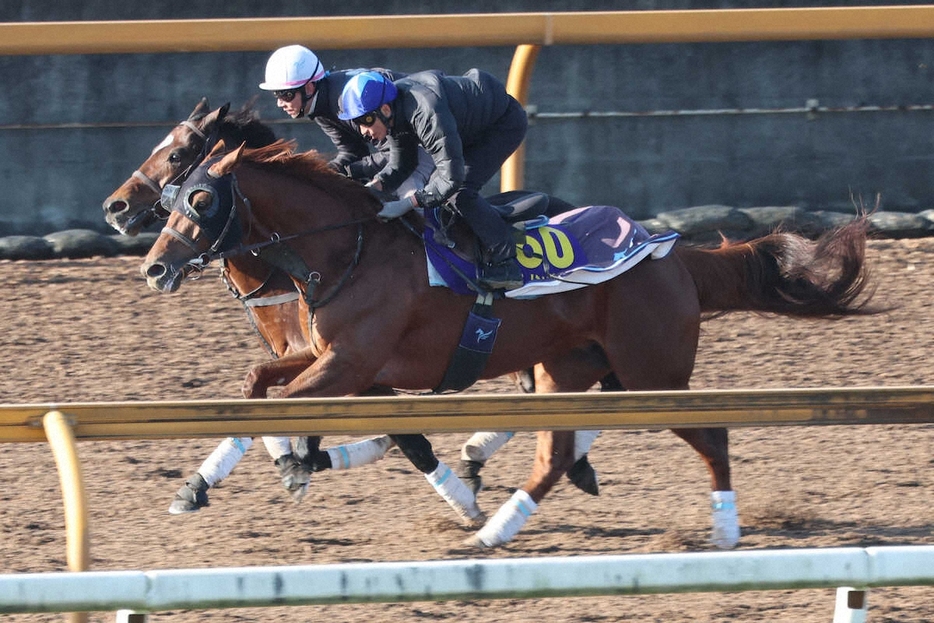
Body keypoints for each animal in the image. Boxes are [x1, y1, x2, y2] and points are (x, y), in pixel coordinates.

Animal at [143, 140, 880, 544]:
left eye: (201, 198)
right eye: (175, 194)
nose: (152, 265)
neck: (348, 244)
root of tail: (671, 251)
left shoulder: (352, 363)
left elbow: (293, 403)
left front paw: (296, 463)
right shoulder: (329, 355)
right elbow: (256, 386)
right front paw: (205, 484)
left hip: (653, 371)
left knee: (712, 433)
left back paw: (725, 530)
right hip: (572, 367)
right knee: (556, 451)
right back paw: (502, 524)